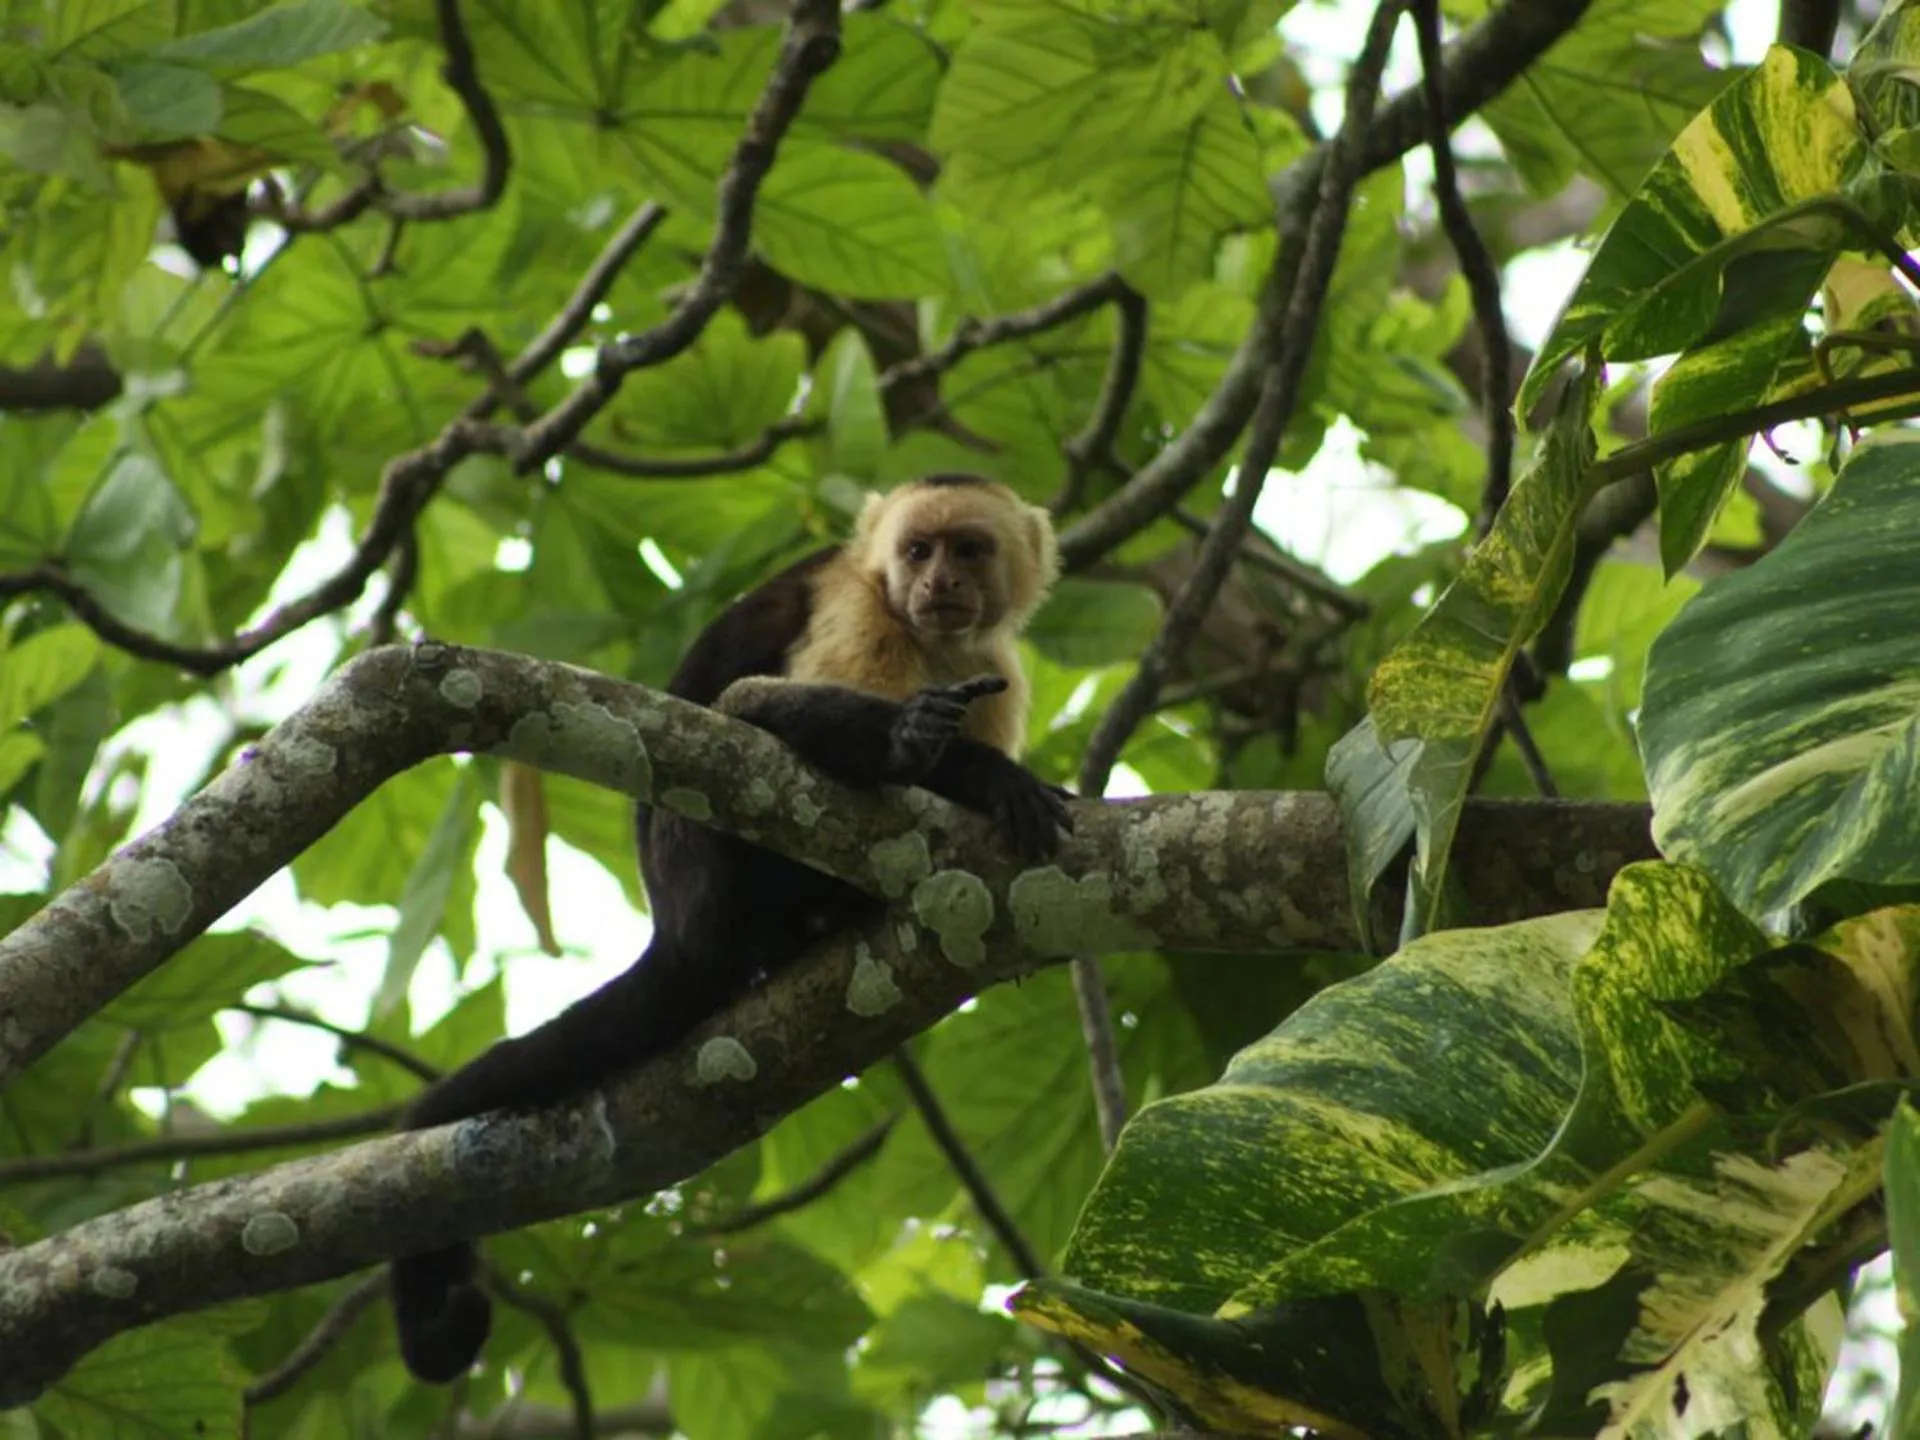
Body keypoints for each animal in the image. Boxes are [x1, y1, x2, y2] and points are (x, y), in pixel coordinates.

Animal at [389, 474, 1071, 1382]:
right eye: (918, 551)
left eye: (968, 549)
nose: (939, 584)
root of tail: (675, 928)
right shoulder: (857, 605)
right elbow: (754, 704)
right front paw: (947, 756)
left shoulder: (993, 662)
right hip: (707, 878)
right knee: (741, 743)